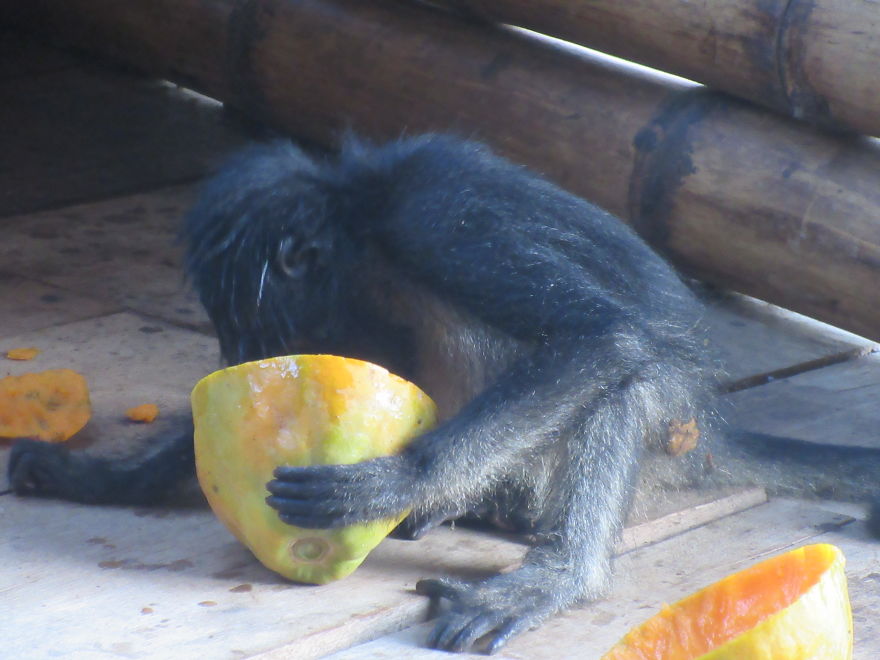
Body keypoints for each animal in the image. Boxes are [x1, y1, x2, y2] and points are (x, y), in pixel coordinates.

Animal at [8, 134, 880, 654]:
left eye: (247, 327)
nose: (237, 357)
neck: (363, 209)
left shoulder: (436, 223)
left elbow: (604, 339)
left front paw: (392, 484)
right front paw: (96, 476)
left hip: (668, 428)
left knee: (626, 374)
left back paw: (550, 571)